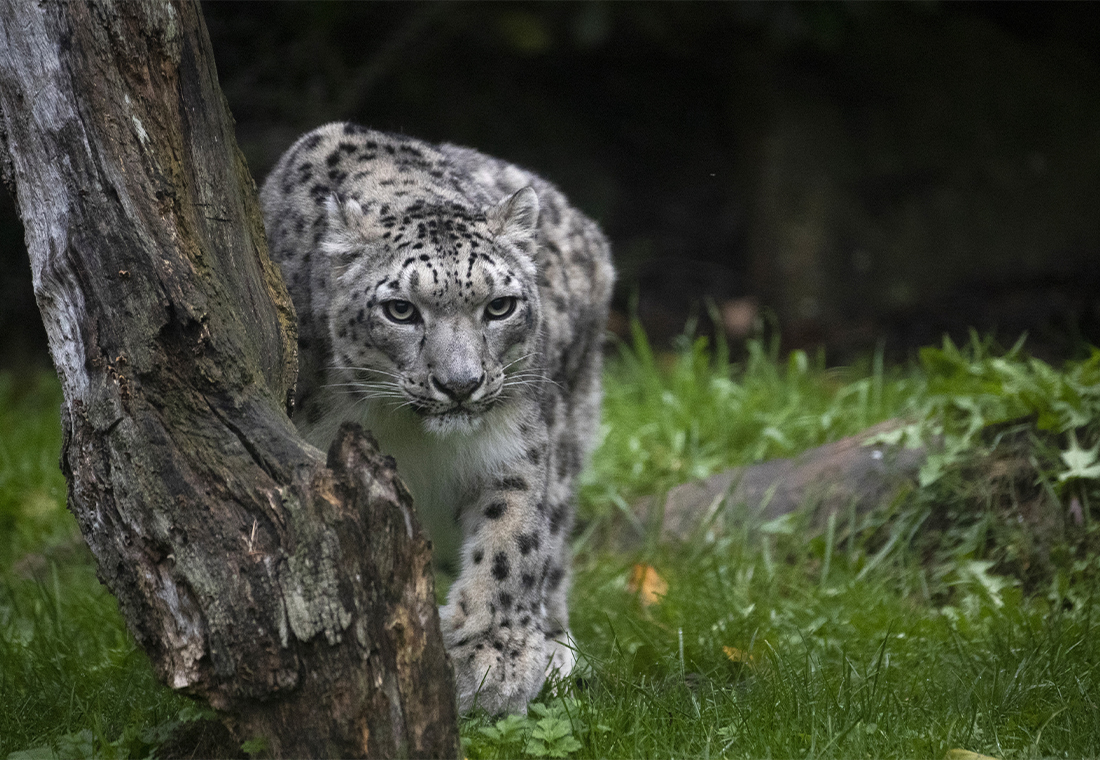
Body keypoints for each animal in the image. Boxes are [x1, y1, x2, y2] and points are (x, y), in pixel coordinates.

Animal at [261, 122, 616, 717]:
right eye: (401, 310)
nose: (460, 384)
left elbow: (512, 542)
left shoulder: (515, 447)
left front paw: (492, 659)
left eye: (499, 306)